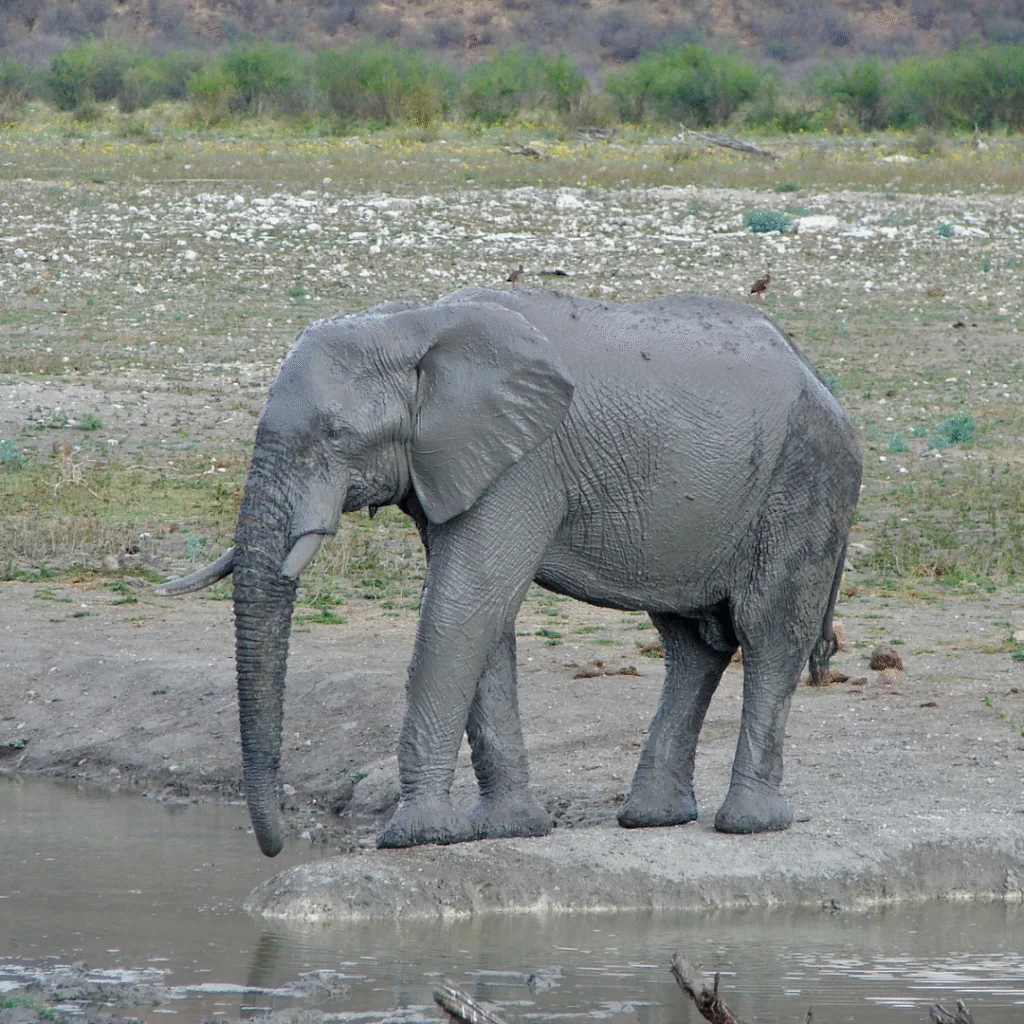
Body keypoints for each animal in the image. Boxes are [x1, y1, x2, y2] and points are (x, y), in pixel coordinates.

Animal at [157, 287, 862, 857]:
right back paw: (652, 818)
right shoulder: (451, 464)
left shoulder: (524, 463)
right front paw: (507, 829)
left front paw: (415, 837)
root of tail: (820, 377)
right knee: (690, 645)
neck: (413, 324)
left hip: (806, 477)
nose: (272, 846)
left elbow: (463, 604)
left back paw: (748, 823)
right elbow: (482, 619)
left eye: (334, 434)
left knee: (768, 633)